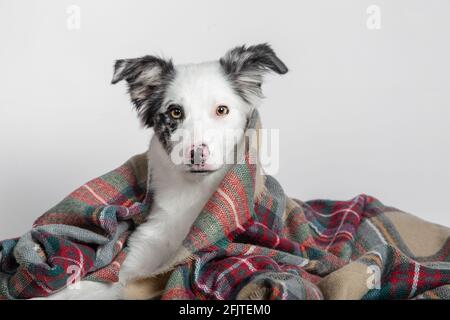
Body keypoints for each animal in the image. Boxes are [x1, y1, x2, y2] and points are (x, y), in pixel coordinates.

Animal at [43, 43, 288, 300]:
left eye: (222, 110)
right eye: (175, 112)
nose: (196, 155)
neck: (190, 195)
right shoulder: (131, 265)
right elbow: (86, 285)